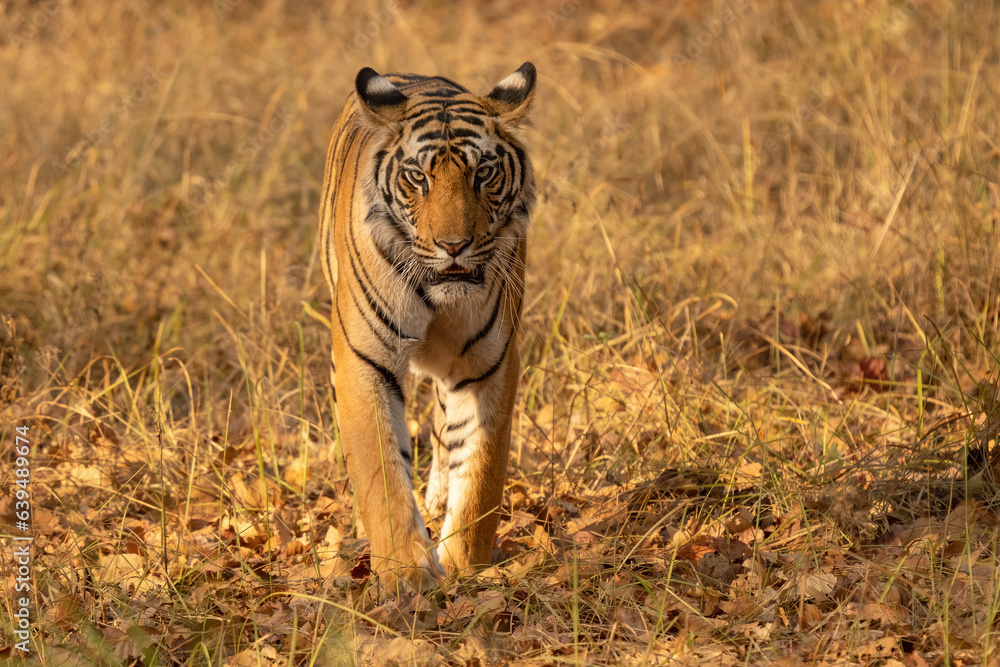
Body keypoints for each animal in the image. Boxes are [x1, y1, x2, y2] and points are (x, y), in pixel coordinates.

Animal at [318, 62, 536, 594]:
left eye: (484, 172)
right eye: (418, 177)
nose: (454, 245)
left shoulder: (489, 363)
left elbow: (480, 473)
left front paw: (463, 568)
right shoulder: (363, 363)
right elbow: (382, 475)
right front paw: (406, 579)